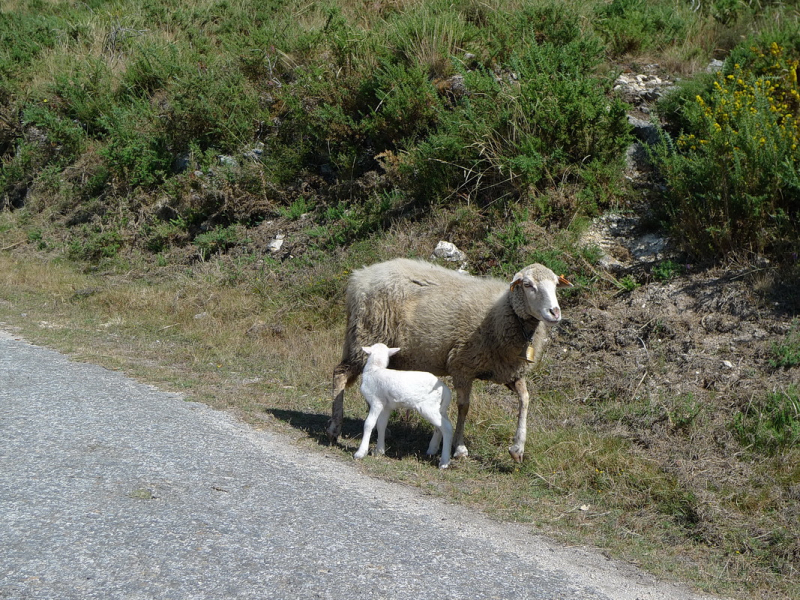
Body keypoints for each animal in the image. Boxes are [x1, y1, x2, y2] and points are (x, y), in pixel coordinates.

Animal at [328, 258, 572, 464]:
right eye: (528, 285)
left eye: (555, 285)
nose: (555, 312)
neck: (504, 312)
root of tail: (359, 276)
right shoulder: (462, 365)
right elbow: (464, 407)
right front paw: (459, 447)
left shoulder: (508, 372)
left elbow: (525, 399)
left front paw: (517, 448)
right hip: (364, 336)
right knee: (339, 374)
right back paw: (334, 428)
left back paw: (381, 429)